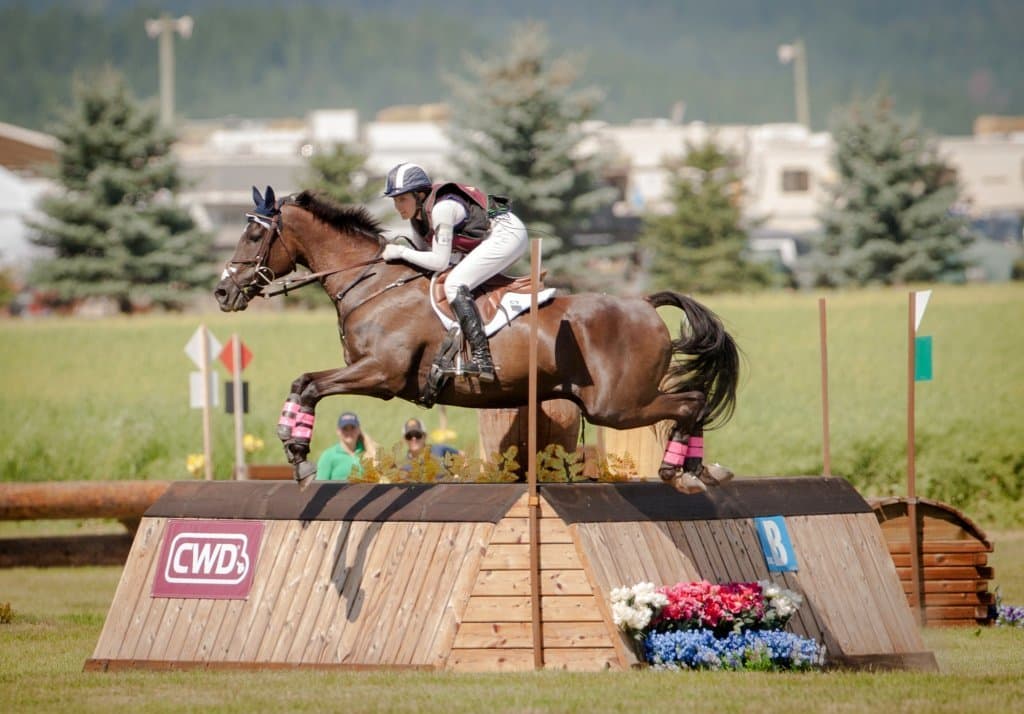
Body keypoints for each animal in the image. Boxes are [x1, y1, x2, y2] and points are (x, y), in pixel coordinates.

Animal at [214, 186, 740, 493]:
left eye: (253, 236)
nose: (222, 292)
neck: (370, 282)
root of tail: (645, 304)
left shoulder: (381, 374)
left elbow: (310, 386)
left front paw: (299, 456)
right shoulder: (366, 371)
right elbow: (303, 382)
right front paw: (294, 449)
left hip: (616, 405)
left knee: (691, 402)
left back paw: (681, 472)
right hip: (618, 401)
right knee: (693, 401)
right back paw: (700, 470)